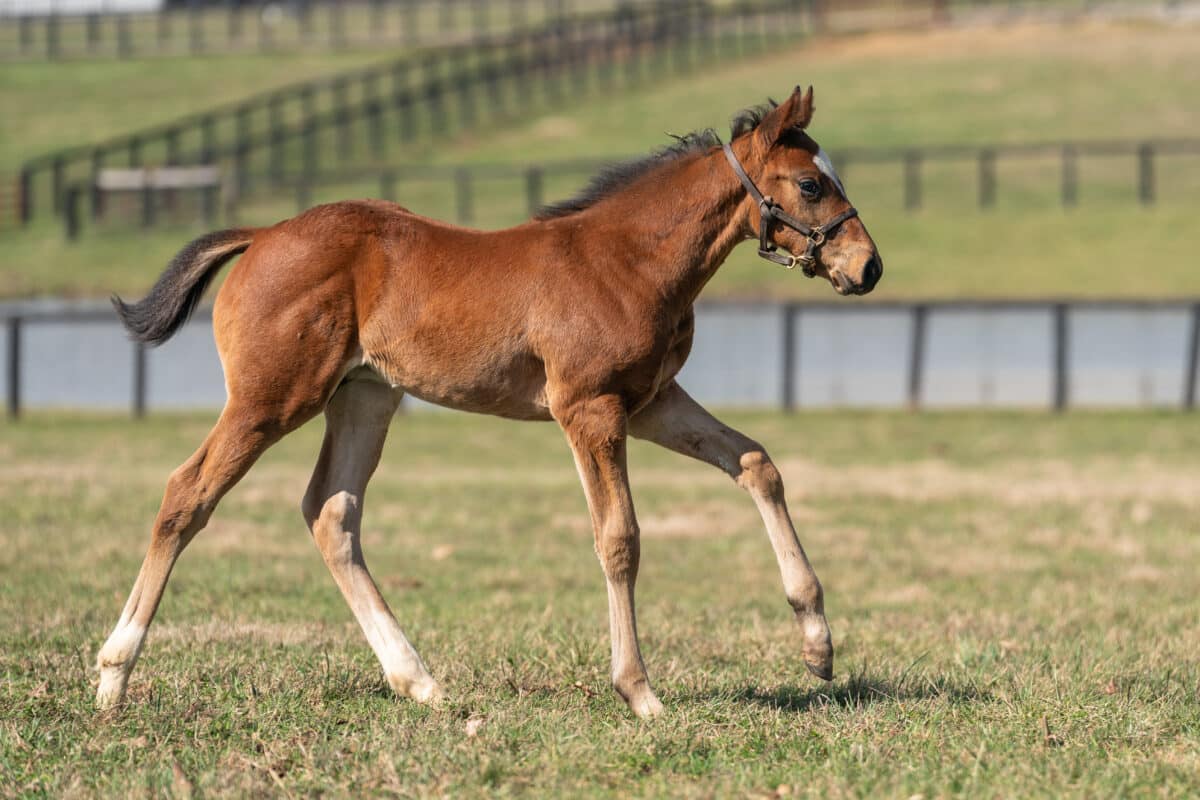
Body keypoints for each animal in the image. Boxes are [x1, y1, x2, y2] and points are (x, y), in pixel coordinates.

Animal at [96, 87, 883, 719]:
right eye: (811, 184)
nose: (868, 267)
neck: (629, 260)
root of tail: (260, 235)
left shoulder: (652, 400)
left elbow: (756, 462)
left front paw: (818, 647)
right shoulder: (588, 407)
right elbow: (619, 538)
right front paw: (639, 693)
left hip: (364, 397)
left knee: (330, 512)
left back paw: (418, 681)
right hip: (271, 397)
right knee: (187, 493)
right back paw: (113, 675)